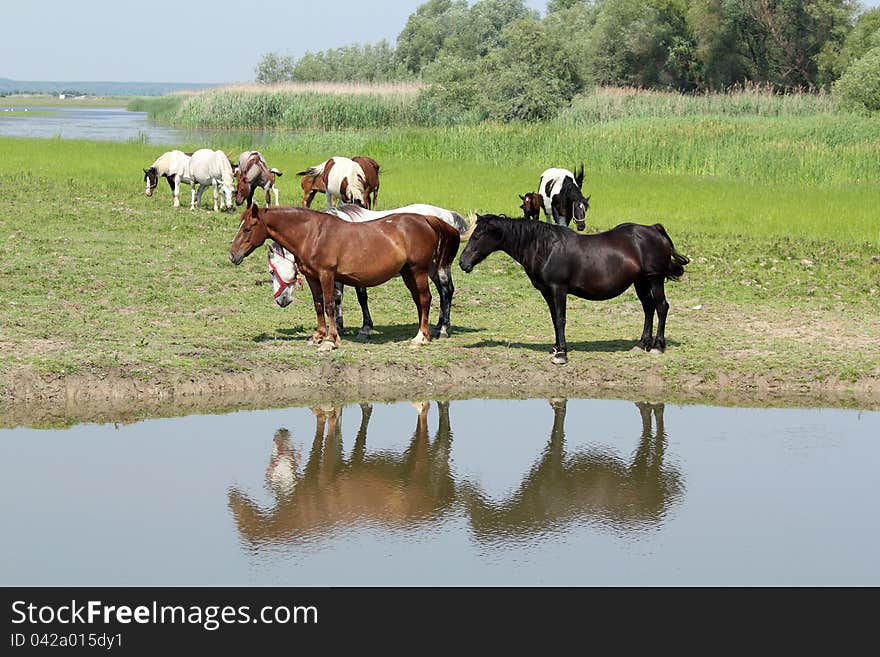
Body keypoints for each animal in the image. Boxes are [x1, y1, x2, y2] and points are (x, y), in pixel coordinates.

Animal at [227, 204, 460, 348]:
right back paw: (425, 333)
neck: (313, 234)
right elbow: (319, 304)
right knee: (420, 301)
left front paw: (331, 339)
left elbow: (331, 304)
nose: (232, 255)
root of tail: (428, 220)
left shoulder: (327, 275)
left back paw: (423, 336)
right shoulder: (313, 277)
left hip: (420, 271)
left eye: (247, 229)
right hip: (407, 273)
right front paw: (318, 336)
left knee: (428, 298)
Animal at [458, 215, 692, 364]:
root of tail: (654, 229)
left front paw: (562, 353)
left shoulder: (558, 289)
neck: (544, 248)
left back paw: (658, 346)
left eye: (477, 236)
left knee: (661, 307)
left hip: (655, 279)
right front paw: (555, 348)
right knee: (648, 308)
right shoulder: (547, 292)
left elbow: (561, 319)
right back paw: (642, 344)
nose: (462, 263)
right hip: (641, 281)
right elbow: (554, 319)